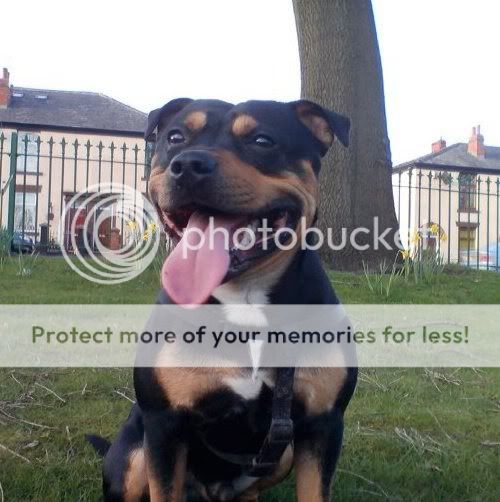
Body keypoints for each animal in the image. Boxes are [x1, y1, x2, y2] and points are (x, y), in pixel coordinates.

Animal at [88, 99, 358, 502]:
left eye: (263, 141)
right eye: (175, 137)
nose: (188, 164)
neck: (244, 302)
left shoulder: (322, 424)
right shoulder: (164, 426)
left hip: (281, 455)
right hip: (135, 455)